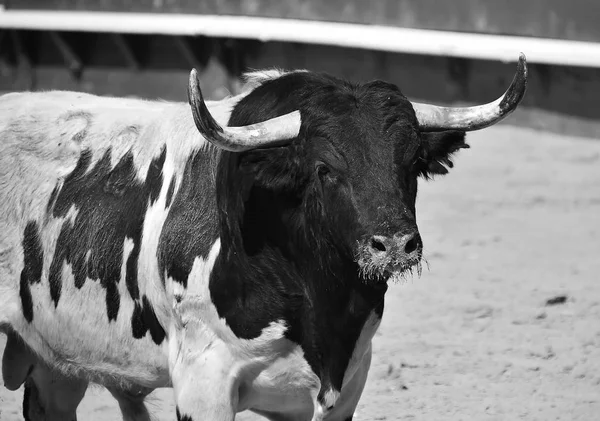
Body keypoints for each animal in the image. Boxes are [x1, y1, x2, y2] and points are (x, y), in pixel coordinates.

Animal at [0, 55, 524, 420]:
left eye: (413, 163)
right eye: (324, 168)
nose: (395, 244)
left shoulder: (347, 382)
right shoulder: (203, 382)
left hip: (55, 363)